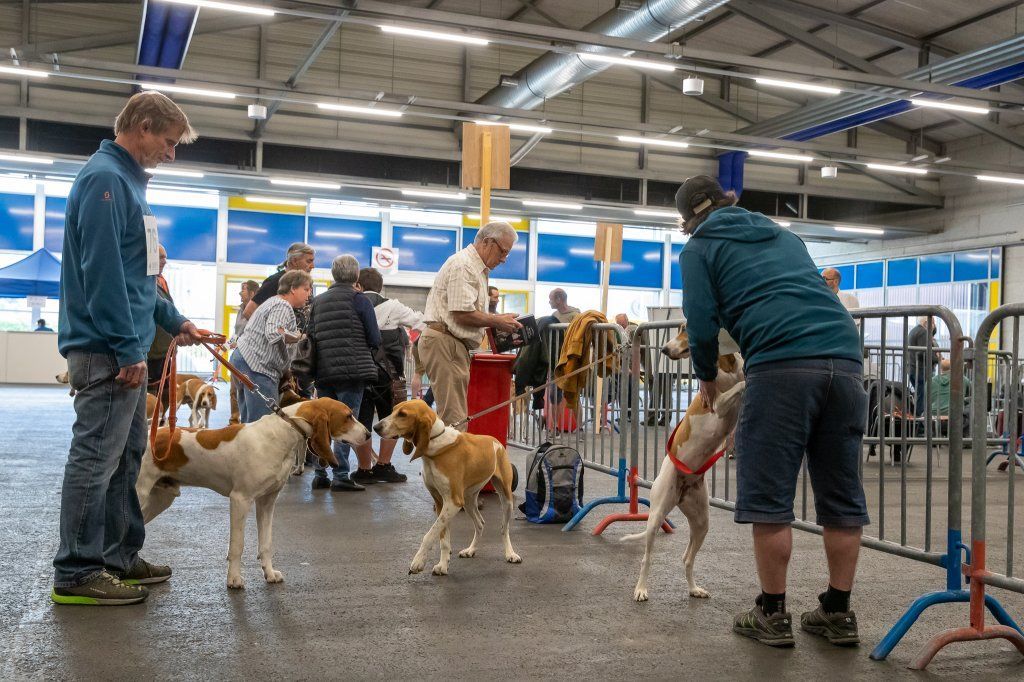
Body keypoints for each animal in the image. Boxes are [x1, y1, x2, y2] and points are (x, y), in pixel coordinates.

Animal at [136, 395, 368, 585]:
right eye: (348, 416)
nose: (367, 434)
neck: (283, 432)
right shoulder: (240, 500)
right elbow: (237, 545)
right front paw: (234, 579)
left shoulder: (267, 501)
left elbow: (266, 543)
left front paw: (269, 573)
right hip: (141, 494)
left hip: (161, 499)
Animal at [374, 399, 524, 573]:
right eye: (393, 410)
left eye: (403, 414)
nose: (376, 427)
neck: (434, 445)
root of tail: (496, 441)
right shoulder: (441, 503)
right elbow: (443, 538)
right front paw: (443, 564)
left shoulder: (452, 503)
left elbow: (430, 534)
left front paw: (418, 562)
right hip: (468, 501)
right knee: (480, 524)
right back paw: (471, 550)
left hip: (505, 499)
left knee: (504, 529)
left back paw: (510, 554)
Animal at [622, 323, 745, 602]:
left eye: (685, 330)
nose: (665, 350)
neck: (725, 363)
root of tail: (680, 491)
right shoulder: (718, 404)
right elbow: (742, 385)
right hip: (656, 515)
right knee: (647, 559)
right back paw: (640, 589)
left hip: (701, 522)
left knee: (686, 558)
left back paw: (693, 589)